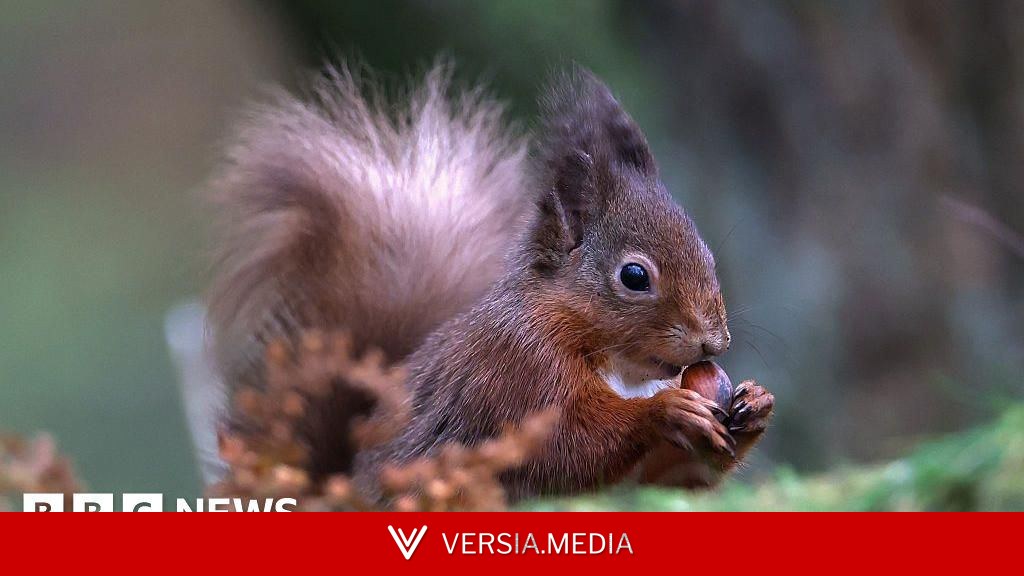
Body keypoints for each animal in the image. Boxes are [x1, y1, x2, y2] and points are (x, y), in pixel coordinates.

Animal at [207, 63, 774, 500]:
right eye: (634, 276)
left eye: (707, 254)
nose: (715, 341)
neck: (619, 367)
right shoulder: (515, 370)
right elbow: (565, 445)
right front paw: (665, 410)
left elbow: (661, 479)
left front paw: (755, 405)